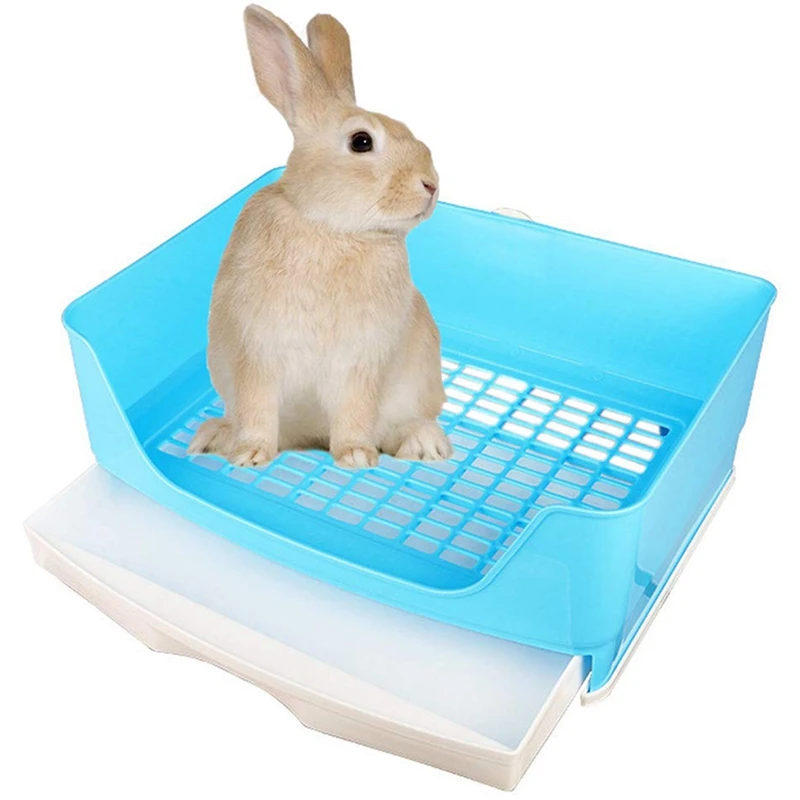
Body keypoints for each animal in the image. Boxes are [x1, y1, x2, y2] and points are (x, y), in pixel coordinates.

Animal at [189, 5, 451, 469]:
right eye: (361, 141)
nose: (431, 185)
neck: (331, 227)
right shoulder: (258, 354)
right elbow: (257, 408)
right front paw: (249, 455)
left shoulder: (360, 364)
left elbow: (355, 412)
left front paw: (356, 457)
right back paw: (216, 436)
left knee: (402, 424)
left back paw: (423, 444)